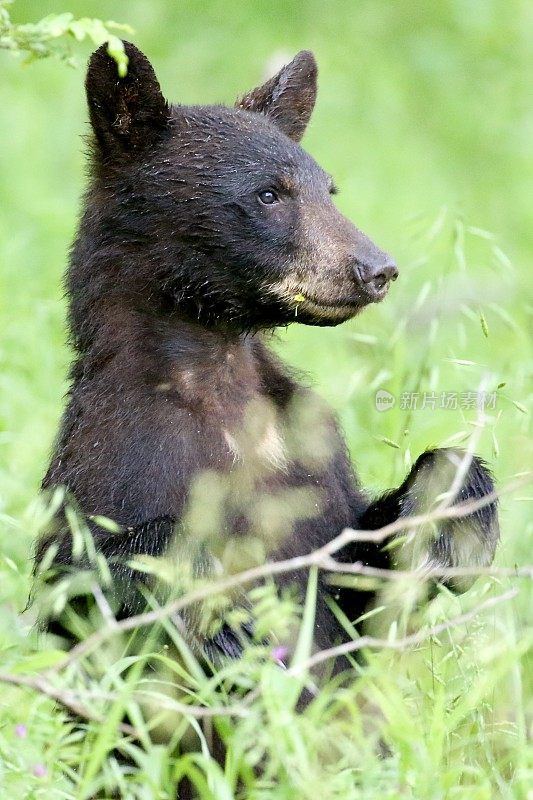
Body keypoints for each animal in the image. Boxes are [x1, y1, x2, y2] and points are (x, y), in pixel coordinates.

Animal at [36, 43, 498, 668]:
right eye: (269, 193)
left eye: (328, 190)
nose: (377, 269)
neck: (212, 378)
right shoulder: (111, 459)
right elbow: (79, 589)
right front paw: (220, 614)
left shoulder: (312, 452)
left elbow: (354, 584)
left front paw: (451, 516)